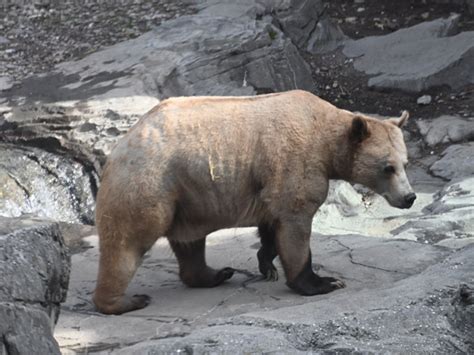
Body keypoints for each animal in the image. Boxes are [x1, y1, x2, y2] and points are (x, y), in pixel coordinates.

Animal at [92, 90, 414, 316]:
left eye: (405, 163)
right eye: (388, 167)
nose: (409, 197)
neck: (326, 139)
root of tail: (118, 148)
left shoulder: (268, 182)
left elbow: (272, 223)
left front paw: (266, 264)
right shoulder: (296, 162)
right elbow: (295, 225)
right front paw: (324, 282)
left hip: (187, 194)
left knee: (190, 241)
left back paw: (217, 273)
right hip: (149, 185)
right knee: (127, 245)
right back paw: (126, 300)